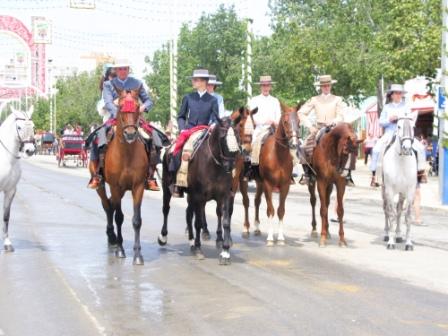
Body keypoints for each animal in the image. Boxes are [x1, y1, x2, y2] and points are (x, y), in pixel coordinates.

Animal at [89, 88, 149, 266]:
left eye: (137, 106)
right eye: (121, 107)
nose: (130, 134)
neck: (127, 154)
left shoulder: (138, 186)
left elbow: (136, 220)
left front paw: (137, 255)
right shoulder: (115, 186)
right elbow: (119, 217)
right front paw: (121, 249)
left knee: (111, 205)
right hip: (102, 186)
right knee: (108, 206)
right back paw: (112, 238)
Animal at [158, 115, 242, 266]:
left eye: (238, 137)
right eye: (222, 137)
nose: (231, 167)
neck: (214, 164)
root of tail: (168, 149)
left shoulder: (225, 195)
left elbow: (226, 221)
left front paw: (225, 251)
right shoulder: (199, 196)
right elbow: (198, 223)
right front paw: (198, 248)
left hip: (191, 196)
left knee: (188, 214)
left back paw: (191, 241)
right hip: (167, 187)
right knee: (166, 209)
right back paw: (163, 237)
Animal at [254, 103, 300, 245]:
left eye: (299, 122)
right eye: (285, 122)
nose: (294, 144)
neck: (278, 155)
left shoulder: (285, 186)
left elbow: (280, 210)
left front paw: (280, 238)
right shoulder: (268, 184)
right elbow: (270, 210)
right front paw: (270, 238)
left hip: (260, 183)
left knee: (256, 201)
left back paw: (256, 228)